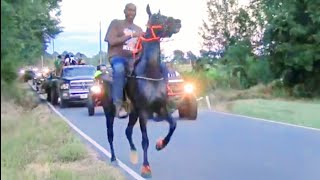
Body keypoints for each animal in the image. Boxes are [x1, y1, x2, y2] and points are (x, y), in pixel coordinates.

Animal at [101, 4, 181, 179]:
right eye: (157, 18)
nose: (178, 21)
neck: (150, 72)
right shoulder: (144, 112)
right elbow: (145, 140)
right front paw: (146, 167)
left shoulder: (161, 108)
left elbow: (173, 125)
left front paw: (160, 144)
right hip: (109, 112)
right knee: (110, 135)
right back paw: (113, 158)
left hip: (133, 112)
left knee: (128, 131)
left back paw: (133, 153)